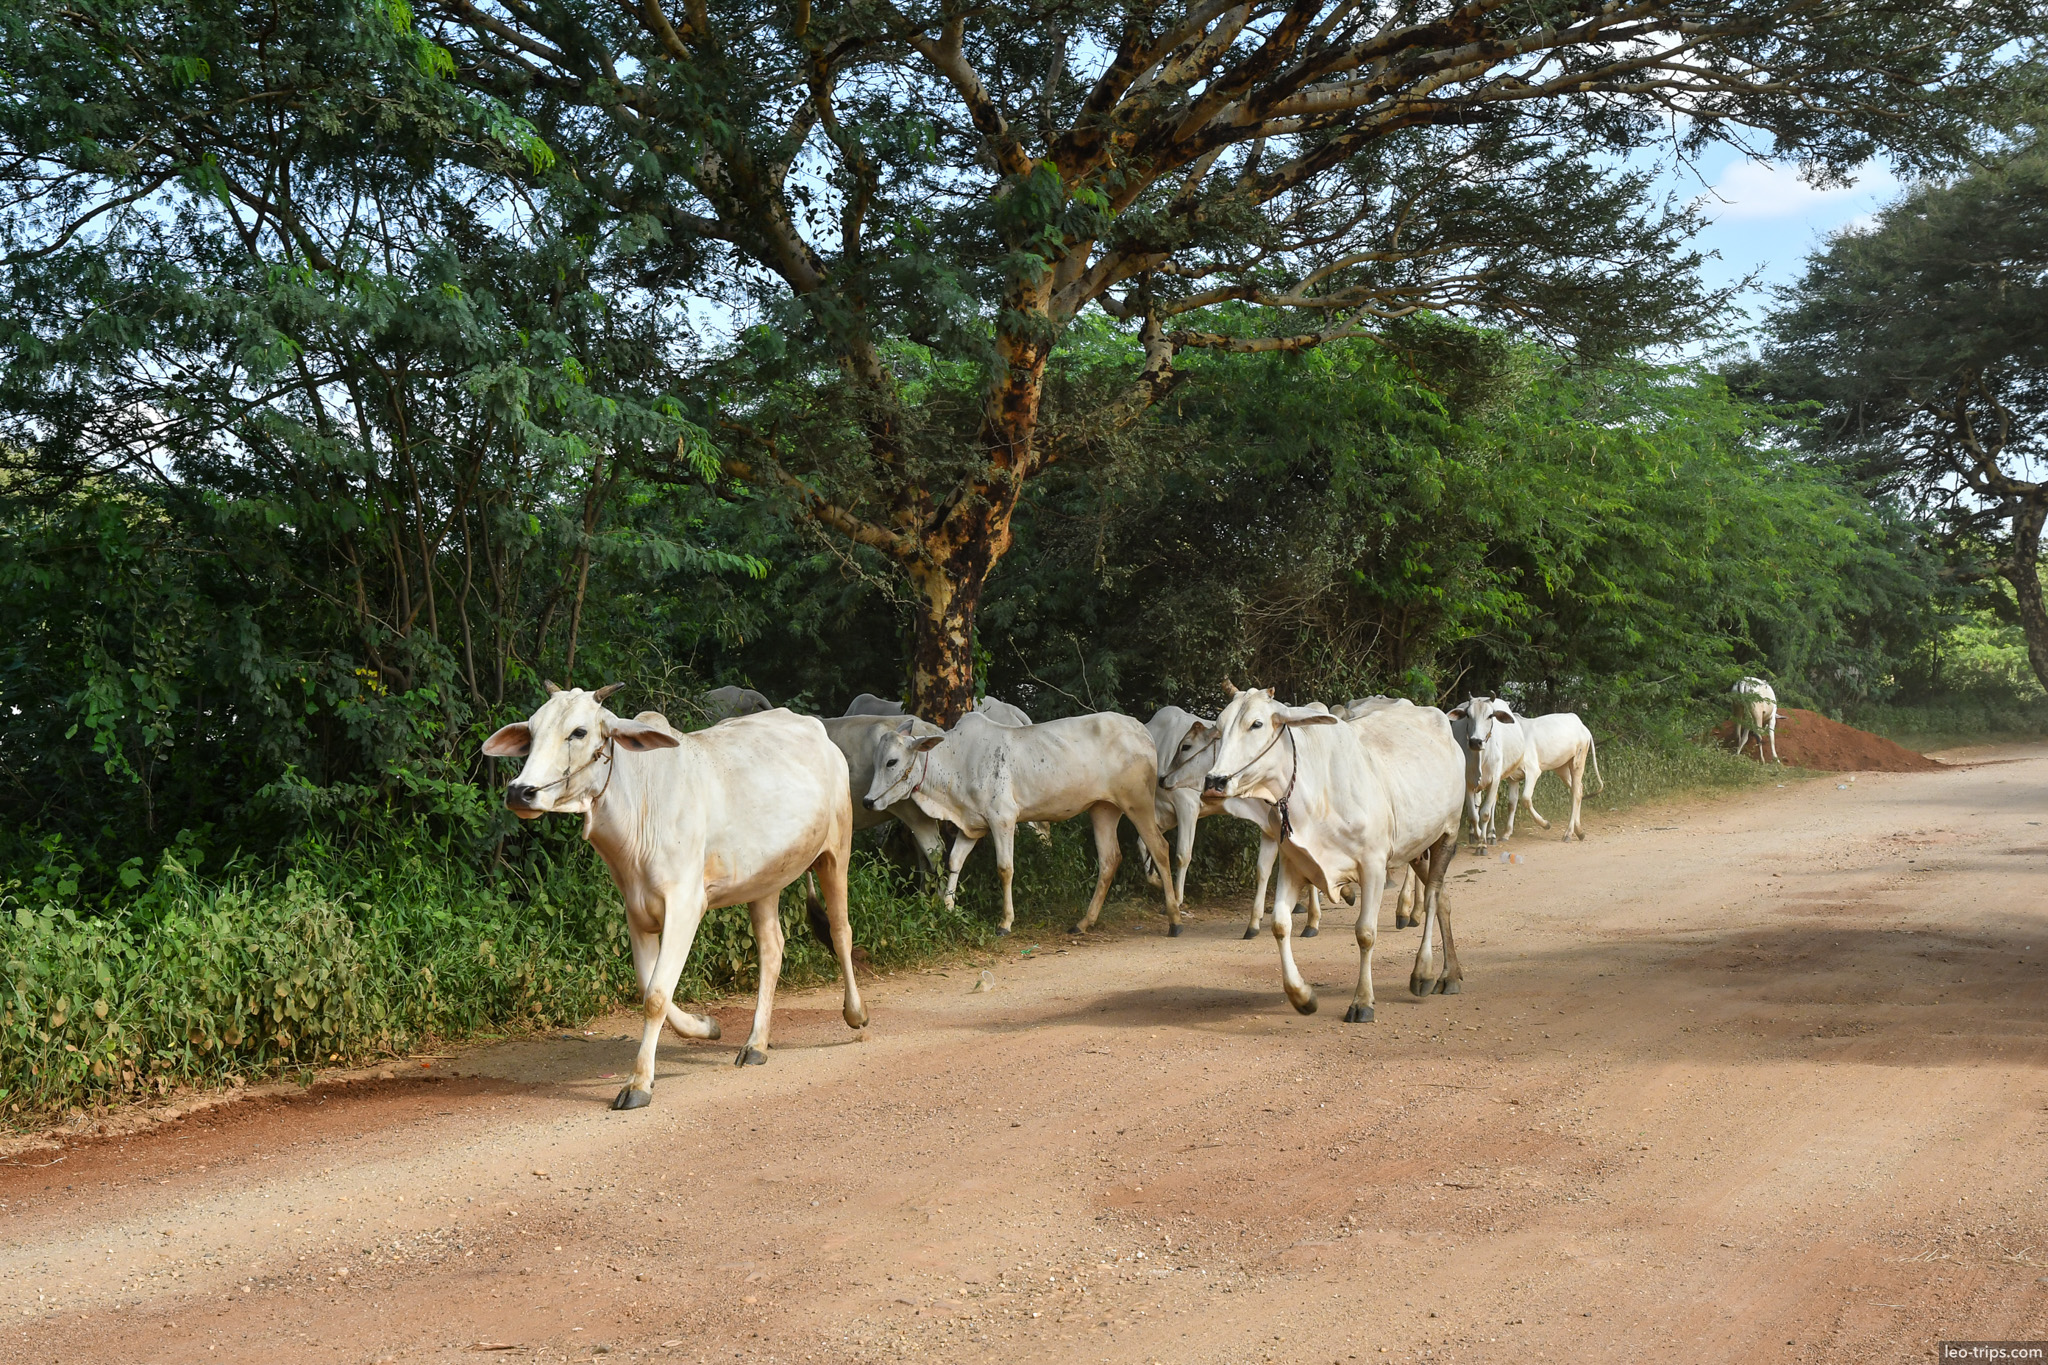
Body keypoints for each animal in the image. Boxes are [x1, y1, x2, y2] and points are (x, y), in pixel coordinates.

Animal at [482, 684, 866, 1109]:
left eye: (579, 732)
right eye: (532, 731)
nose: (520, 792)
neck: (639, 806)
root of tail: (816, 729)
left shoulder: (685, 906)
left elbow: (656, 995)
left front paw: (638, 1083)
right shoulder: (636, 911)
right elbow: (647, 986)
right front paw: (706, 1026)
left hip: (836, 851)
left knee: (840, 931)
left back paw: (855, 1014)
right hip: (764, 881)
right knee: (772, 948)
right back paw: (756, 1043)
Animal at [862, 711, 1180, 936]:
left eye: (891, 762)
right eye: (875, 761)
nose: (867, 801)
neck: (957, 762)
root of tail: (1141, 729)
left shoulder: (1002, 818)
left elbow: (1005, 869)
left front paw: (1005, 922)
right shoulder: (972, 825)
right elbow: (954, 861)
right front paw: (948, 907)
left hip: (1137, 803)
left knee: (1160, 847)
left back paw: (1174, 919)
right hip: (1103, 809)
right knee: (1110, 859)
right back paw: (1083, 923)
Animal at [1203, 685, 1466, 1019]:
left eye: (1257, 724)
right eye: (1219, 727)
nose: (1214, 781)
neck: (1316, 793)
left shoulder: (1373, 866)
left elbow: (1365, 932)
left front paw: (1362, 1002)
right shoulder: (1293, 864)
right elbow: (1279, 925)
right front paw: (1302, 996)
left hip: (1447, 834)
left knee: (1432, 897)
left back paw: (1423, 973)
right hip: (1417, 847)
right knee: (1444, 899)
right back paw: (1451, 974)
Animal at [1446, 695, 1527, 847]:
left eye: (1490, 716)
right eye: (1468, 715)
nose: (1475, 742)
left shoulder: (1494, 780)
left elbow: (1485, 814)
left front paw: (1482, 843)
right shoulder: (1468, 782)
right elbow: (1473, 815)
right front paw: (1477, 835)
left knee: (1492, 804)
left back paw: (1491, 835)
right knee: (1477, 804)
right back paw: (1473, 834)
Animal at [1501, 712, 1603, 841]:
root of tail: (1582, 726)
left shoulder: (1532, 771)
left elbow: (1525, 799)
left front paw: (1546, 824)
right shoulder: (1512, 778)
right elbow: (1511, 804)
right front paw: (1506, 833)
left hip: (1578, 761)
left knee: (1576, 793)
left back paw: (1568, 833)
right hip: (1562, 768)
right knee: (1579, 789)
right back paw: (1579, 832)